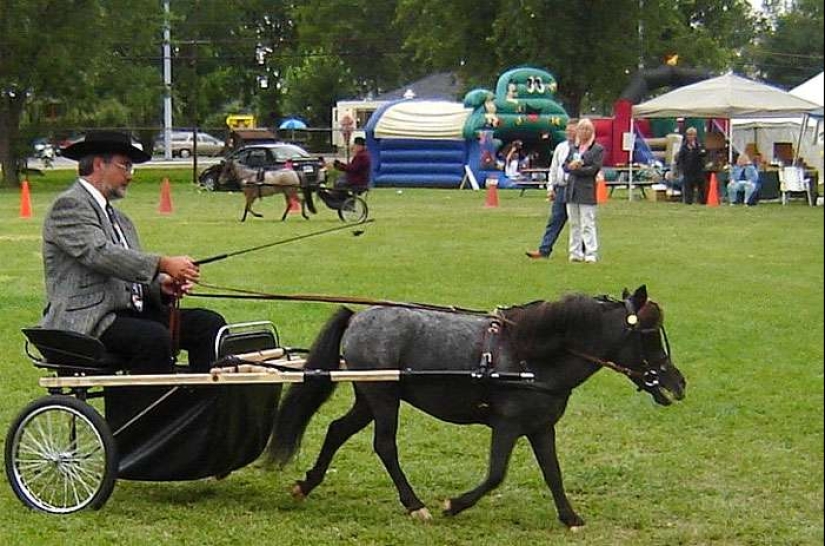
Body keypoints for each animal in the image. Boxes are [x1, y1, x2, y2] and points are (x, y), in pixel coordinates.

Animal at [268, 284, 684, 528]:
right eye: (649, 334)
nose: (678, 383)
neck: (531, 355)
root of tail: (357, 317)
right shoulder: (507, 425)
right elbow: (497, 474)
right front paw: (454, 505)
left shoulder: (541, 427)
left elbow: (553, 472)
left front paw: (570, 517)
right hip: (383, 397)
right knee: (384, 445)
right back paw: (414, 504)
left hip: (370, 396)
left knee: (337, 429)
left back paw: (306, 484)